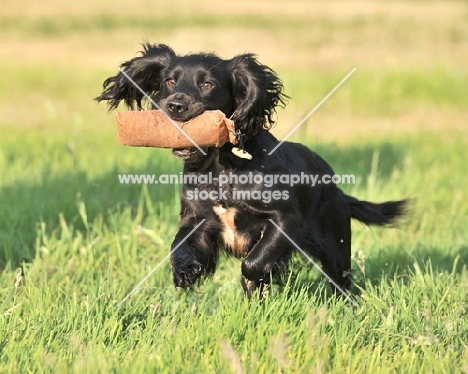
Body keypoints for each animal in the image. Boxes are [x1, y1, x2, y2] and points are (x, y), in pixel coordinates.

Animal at [97, 43, 408, 300]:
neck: (221, 168)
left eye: (207, 84)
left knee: (340, 281)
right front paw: (184, 271)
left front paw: (261, 275)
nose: (175, 105)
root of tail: (337, 189)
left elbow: (253, 264)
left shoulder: (285, 220)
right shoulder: (198, 218)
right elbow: (179, 245)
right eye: (169, 81)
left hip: (335, 244)